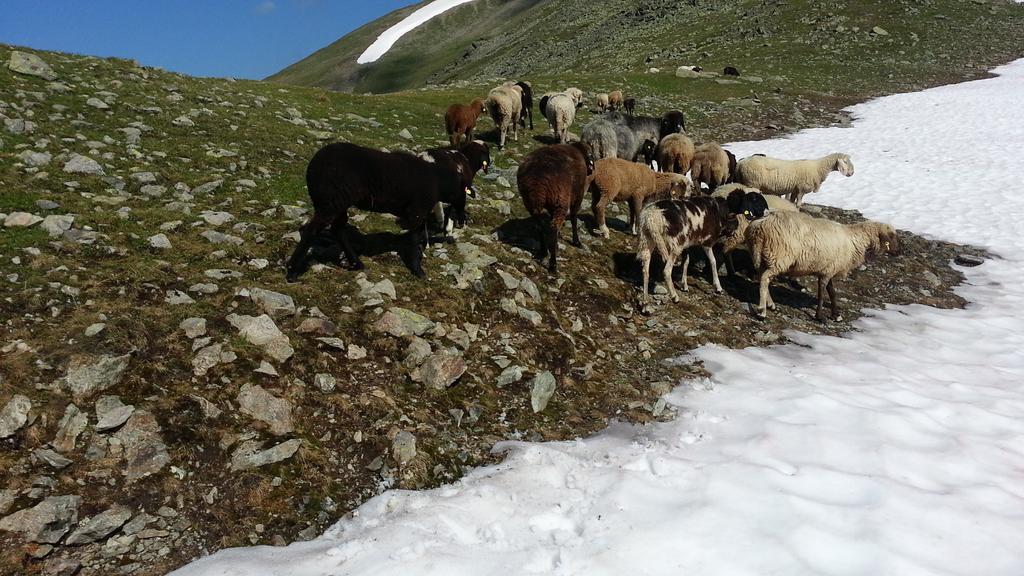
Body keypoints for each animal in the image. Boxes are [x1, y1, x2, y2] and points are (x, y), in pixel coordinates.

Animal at [286, 141, 466, 280]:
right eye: (463, 192)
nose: (462, 221)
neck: (439, 182)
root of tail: (313, 165)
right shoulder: (416, 210)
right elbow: (414, 238)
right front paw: (418, 270)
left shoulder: (416, 212)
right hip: (330, 202)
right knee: (312, 231)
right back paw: (292, 271)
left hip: (338, 203)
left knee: (337, 229)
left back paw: (357, 263)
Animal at [516, 140, 598, 272]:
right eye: (592, 154)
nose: (592, 169)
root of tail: (537, 181)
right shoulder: (578, 195)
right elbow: (574, 219)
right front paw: (576, 241)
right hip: (560, 200)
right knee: (553, 228)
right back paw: (553, 264)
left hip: (531, 202)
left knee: (540, 226)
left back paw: (544, 251)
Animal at [634, 190, 770, 303]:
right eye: (756, 200)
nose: (768, 213)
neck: (721, 210)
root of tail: (651, 217)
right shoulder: (707, 242)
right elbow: (713, 262)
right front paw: (718, 287)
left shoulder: (688, 243)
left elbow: (686, 262)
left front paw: (684, 285)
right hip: (674, 243)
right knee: (666, 271)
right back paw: (674, 296)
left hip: (646, 240)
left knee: (645, 271)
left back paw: (645, 302)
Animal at [745, 208, 897, 319]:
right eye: (891, 236)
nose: (898, 252)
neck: (854, 241)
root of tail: (759, 226)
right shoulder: (827, 272)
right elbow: (822, 292)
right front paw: (819, 316)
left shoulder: (828, 269)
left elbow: (832, 292)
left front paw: (836, 315)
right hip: (780, 257)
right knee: (765, 279)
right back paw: (762, 310)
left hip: (762, 256)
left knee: (762, 277)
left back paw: (770, 304)